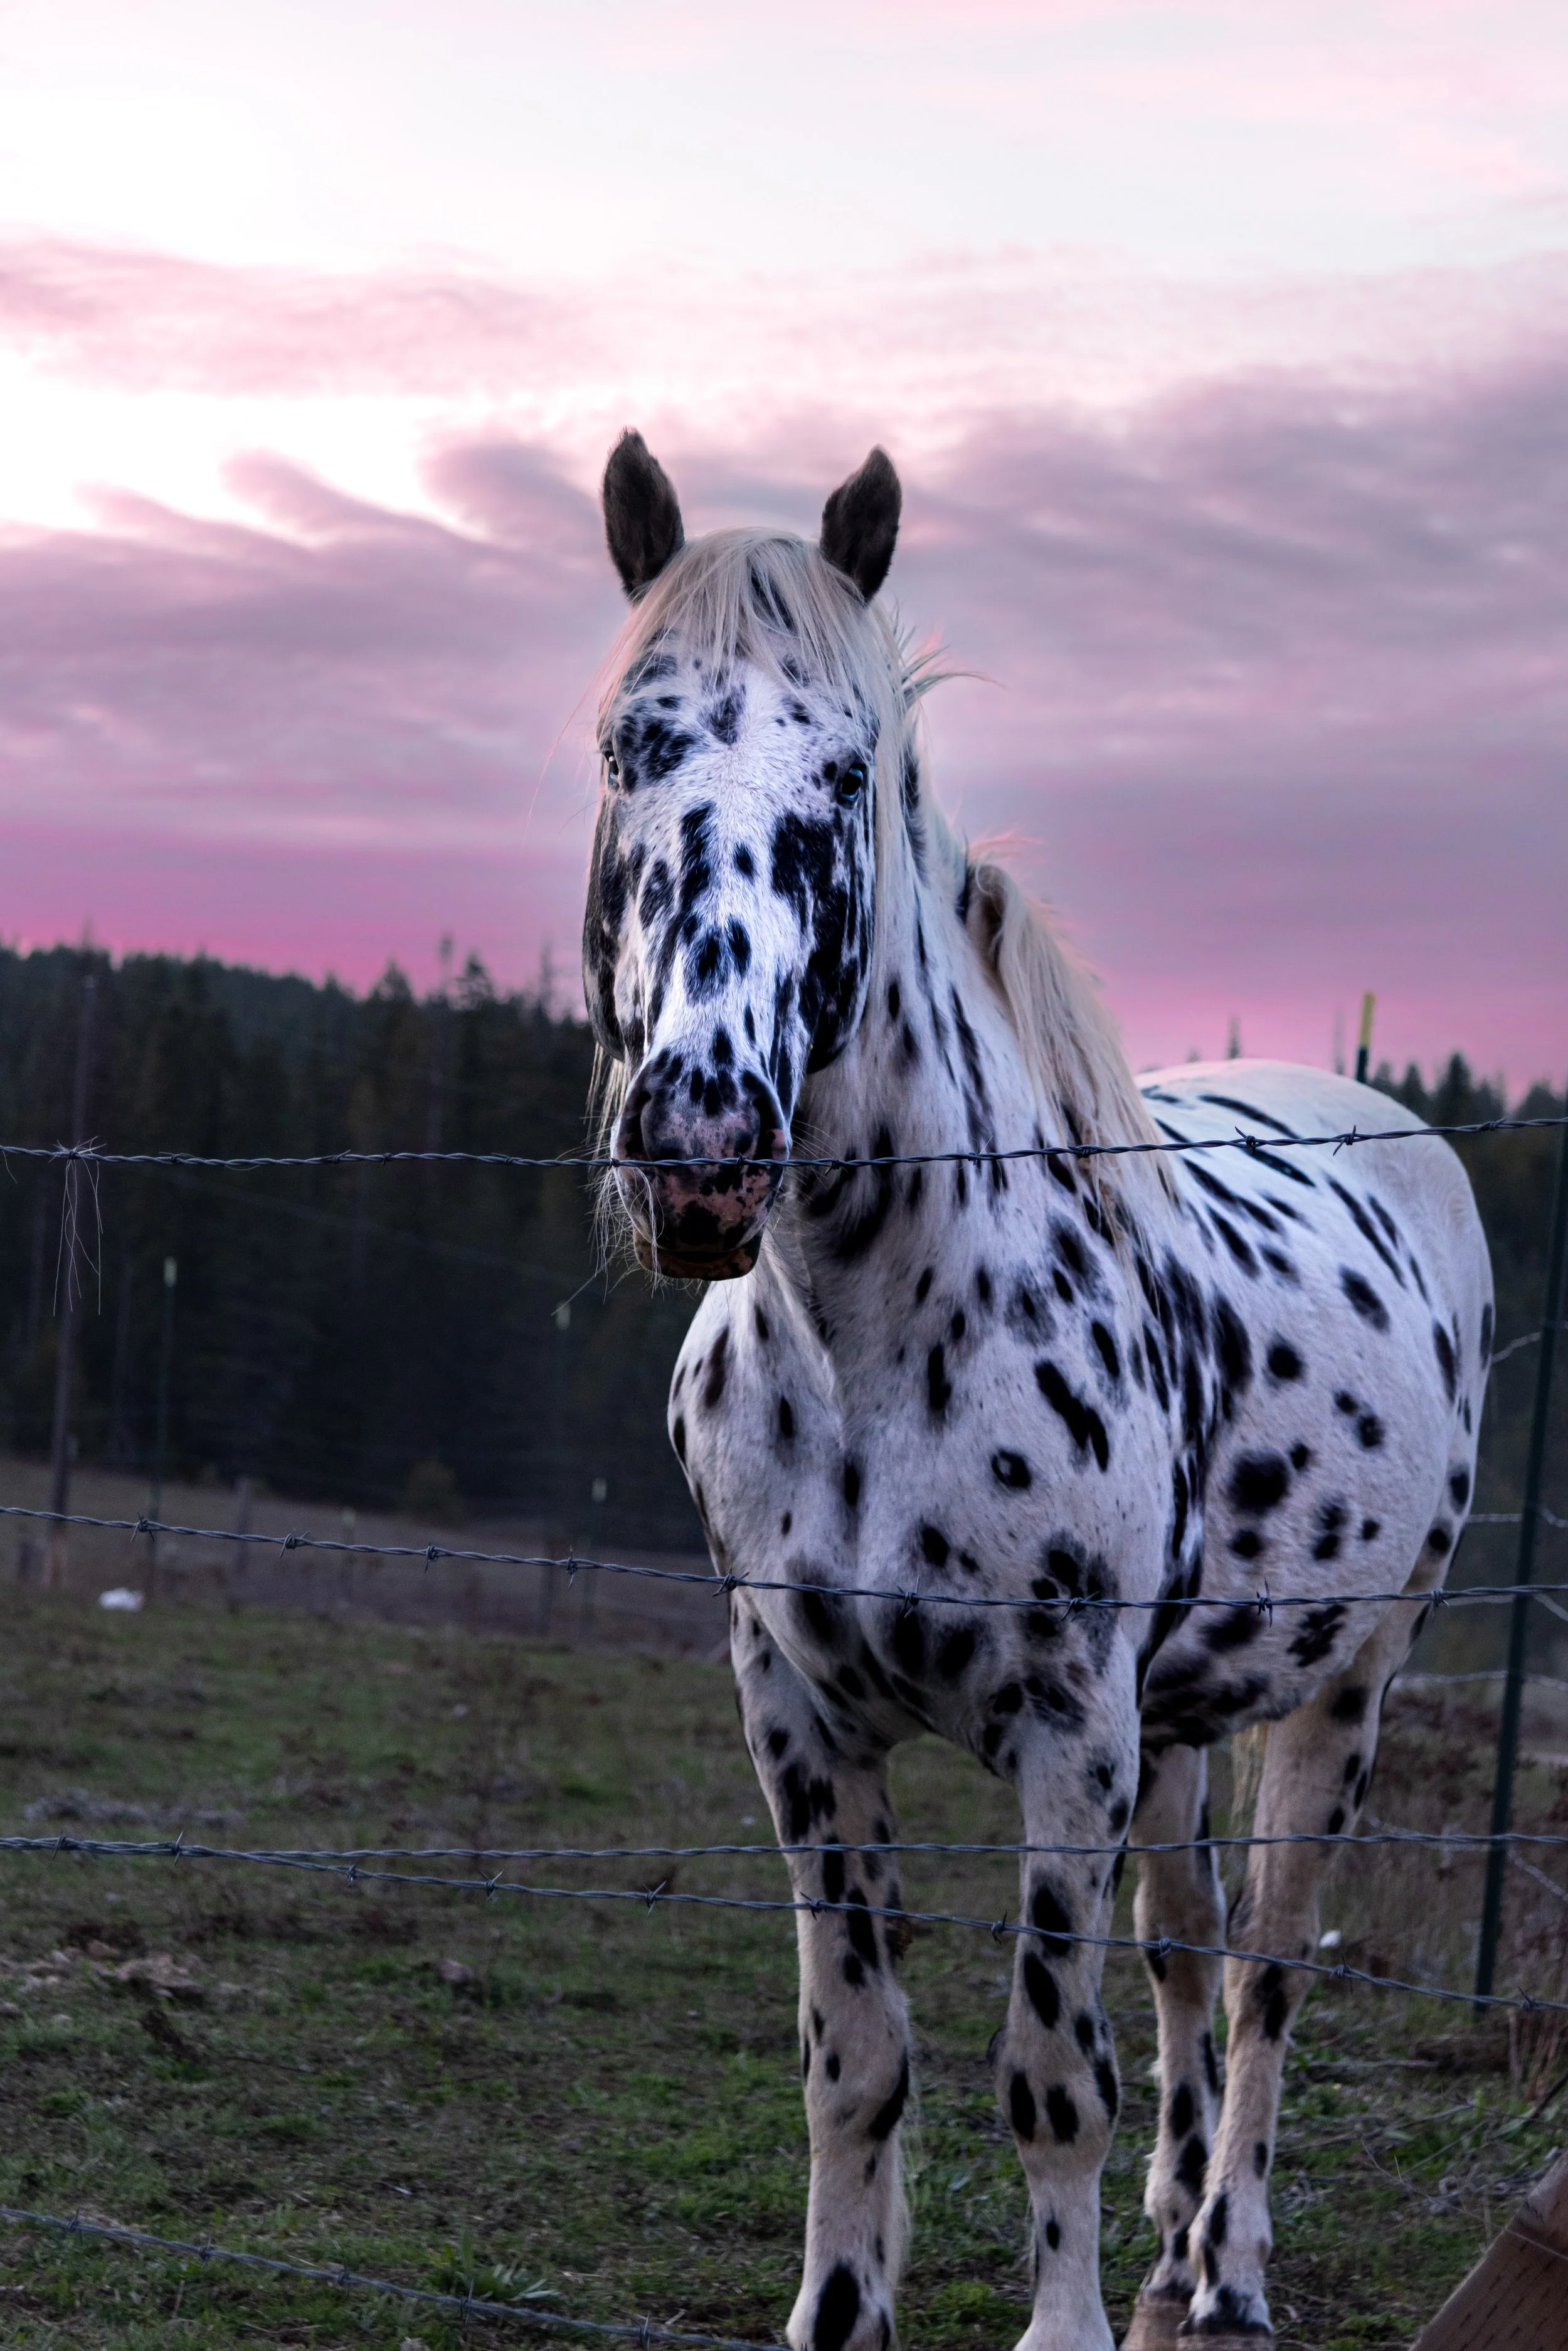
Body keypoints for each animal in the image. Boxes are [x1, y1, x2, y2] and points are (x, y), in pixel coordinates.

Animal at [580, 431, 1493, 2351]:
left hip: (1343, 1694)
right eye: (631, 742)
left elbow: (1047, 2071)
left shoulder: (1067, 1731)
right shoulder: (799, 1718)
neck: (877, 1325)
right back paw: (1168, 2233)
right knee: (1186, 1947)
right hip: (1183, 1719)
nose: (701, 1143)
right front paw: (836, 2308)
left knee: (1267, 1973)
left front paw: (1066, 2320)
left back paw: (1226, 2264)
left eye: (847, 773)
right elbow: (855, 2059)